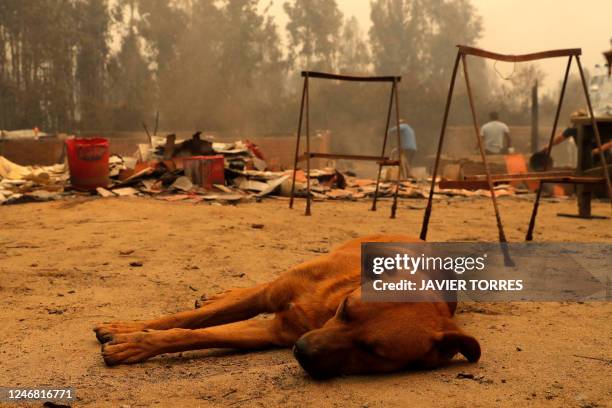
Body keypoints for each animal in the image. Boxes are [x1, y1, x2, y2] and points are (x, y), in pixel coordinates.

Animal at [94, 234, 478, 378]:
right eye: (346, 309)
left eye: (374, 351)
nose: (302, 350)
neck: (326, 304)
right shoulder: (272, 296)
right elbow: (189, 317)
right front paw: (126, 330)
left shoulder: (270, 330)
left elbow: (194, 333)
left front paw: (134, 343)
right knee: (243, 292)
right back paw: (222, 294)